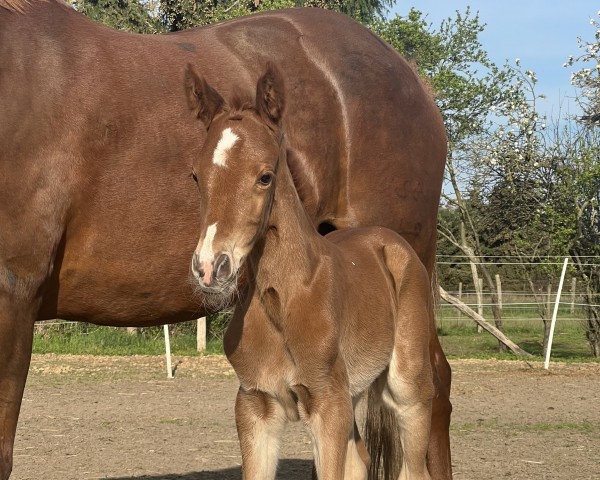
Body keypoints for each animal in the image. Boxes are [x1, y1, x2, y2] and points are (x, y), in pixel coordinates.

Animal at [190, 64, 434, 480]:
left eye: (265, 176)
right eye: (195, 175)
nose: (210, 267)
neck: (285, 300)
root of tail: (390, 240)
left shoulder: (326, 405)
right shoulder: (255, 405)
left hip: (406, 391)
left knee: (413, 469)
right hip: (353, 391)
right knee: (359, 461)